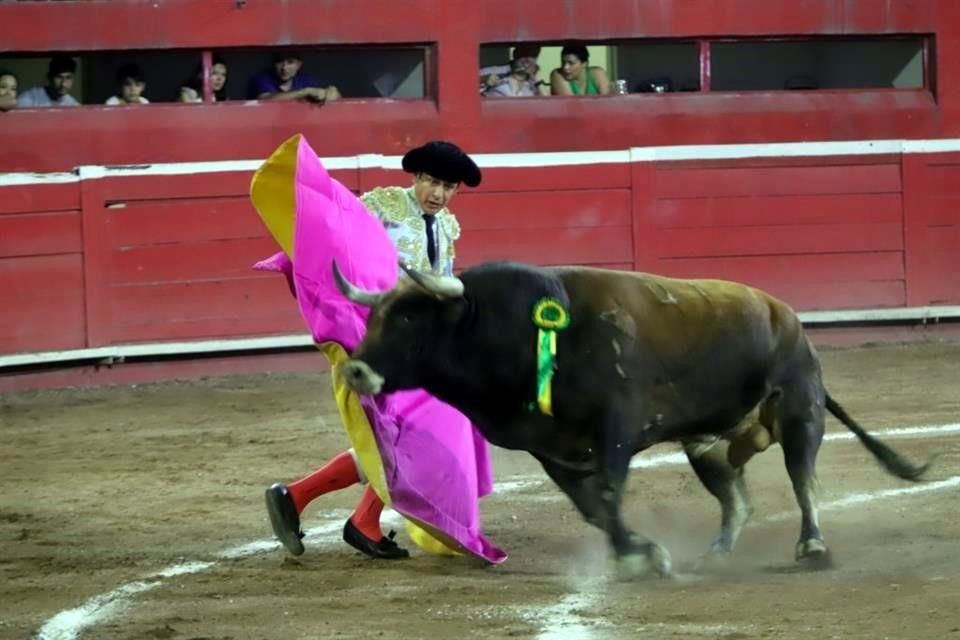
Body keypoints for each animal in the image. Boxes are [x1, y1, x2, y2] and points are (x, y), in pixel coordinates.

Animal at [336, 258, 928, 576]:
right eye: (374, 316)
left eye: (409, 318)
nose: (357, 370)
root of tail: (788, 318)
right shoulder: (553, 451)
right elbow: (595, 509)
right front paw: (641, 551)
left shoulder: (615, 427)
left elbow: (611, 493)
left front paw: (640, 557)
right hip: (708, 445)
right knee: (737, 500)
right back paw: (715, 556)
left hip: (799, 408)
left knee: (803, 479)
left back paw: (813, 546)